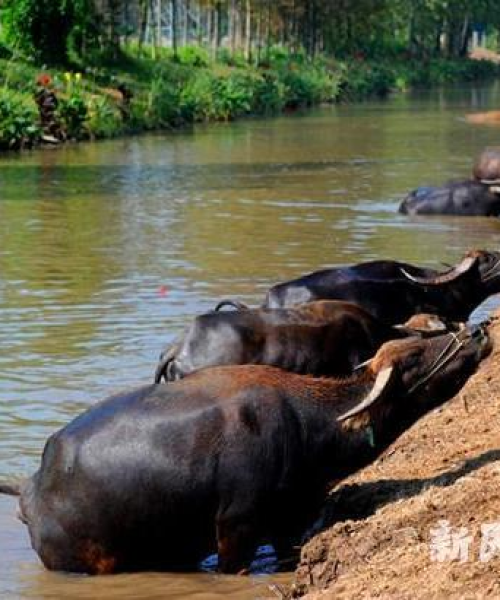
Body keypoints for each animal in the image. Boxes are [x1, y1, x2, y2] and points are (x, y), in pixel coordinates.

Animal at [0, 326, 490, 576]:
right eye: (413, 356)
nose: (478, 332)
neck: (308, 426)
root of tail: (31, 487)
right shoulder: (238, 527)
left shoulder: (290, 521)